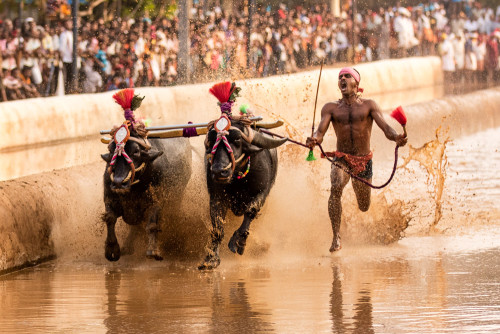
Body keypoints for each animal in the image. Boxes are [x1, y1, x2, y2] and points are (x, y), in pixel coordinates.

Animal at [100, 130, 191, 260]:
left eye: (136, 151)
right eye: (111, 150)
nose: (118, 182)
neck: (133, 190)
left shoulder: (156, 203)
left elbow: (152, 225)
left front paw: (153, 250)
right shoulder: (109, 199)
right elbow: (110, 218)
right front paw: (112, 248)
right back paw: (127, 246)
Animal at [198, 121, 288, 270]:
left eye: (237, 139)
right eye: (211, 141)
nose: (218, 171)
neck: (238, 181)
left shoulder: (262, 192)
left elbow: (250, 211)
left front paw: (238, 242)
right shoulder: (216, 197)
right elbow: (217, 227)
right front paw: (211, 259)